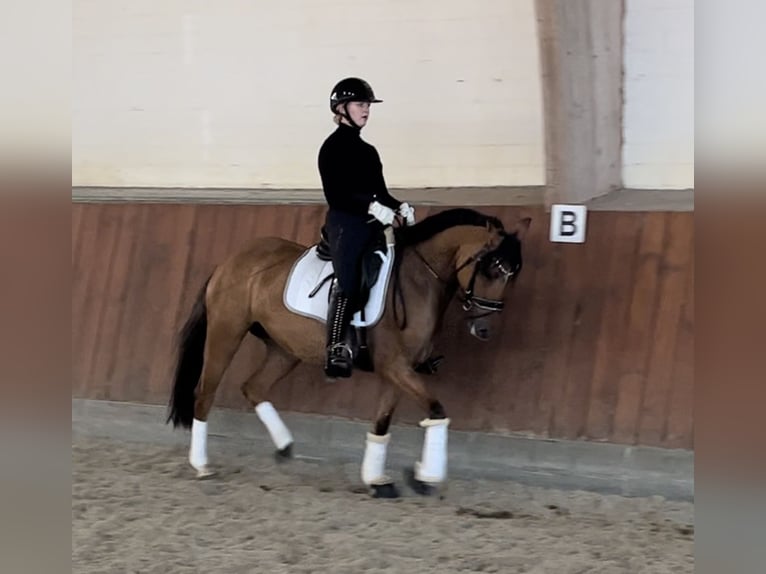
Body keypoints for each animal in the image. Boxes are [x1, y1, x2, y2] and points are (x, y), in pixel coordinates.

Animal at [166, 208, 532, 500]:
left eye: (513, 274)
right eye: (491, 268)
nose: (483, 329)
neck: (418, 280)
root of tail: (231, 261)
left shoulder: (400, 369)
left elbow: (383, 422)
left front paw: (379, 480)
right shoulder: (395, 366)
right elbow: (437, 410)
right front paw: (426, 477)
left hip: (286, 349)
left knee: (253, 388)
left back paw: (284, 446)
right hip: (226, 332)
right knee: (205, 392)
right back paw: (202, 465)